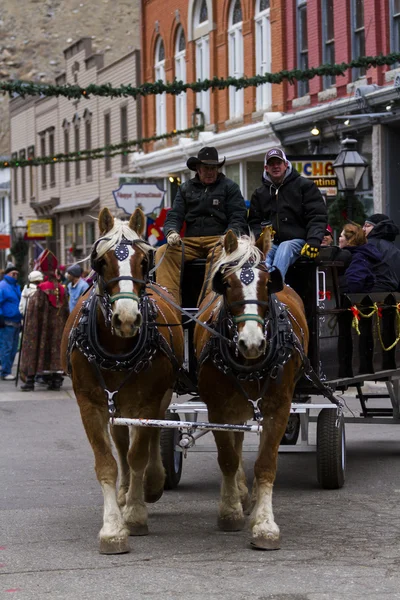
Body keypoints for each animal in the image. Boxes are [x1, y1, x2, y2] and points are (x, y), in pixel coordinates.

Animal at [60, 206, 183, 552]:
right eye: (101, 262)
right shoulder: (90, 404)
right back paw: (127, 490)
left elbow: (139, 453)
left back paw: (151, 484)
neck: (116, 349)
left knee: (151, 437)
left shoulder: (148, 401)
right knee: (120, 442)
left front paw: (136, 514)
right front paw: (113, 527)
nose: (126, 319)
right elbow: (108, 462)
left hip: (157, 396)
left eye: (144, 261)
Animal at [194, 230, 310, 548]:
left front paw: (265, 524)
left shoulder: (279, 407)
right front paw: (230, 509)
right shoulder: (217, 408)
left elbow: (266, 463)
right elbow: (228, 458)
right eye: (227, 283)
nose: (252, 343)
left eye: (267, 283)